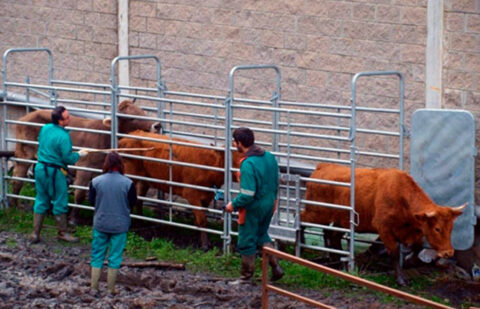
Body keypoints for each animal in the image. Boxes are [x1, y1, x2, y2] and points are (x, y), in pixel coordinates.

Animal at [302, 162, 466, 286]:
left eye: (451, 228)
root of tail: (322, 167)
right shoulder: (384, 229)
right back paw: (302, 247)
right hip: (316, 212)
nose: (448, 252)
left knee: (331, 234)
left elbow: (417, 247)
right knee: (301, 219)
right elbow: (394, 252)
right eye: (437, 228)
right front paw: (400, 278)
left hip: (341, 220)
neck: (401, 197)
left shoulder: (413, 231)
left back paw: (336, 259)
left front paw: (409, 262)